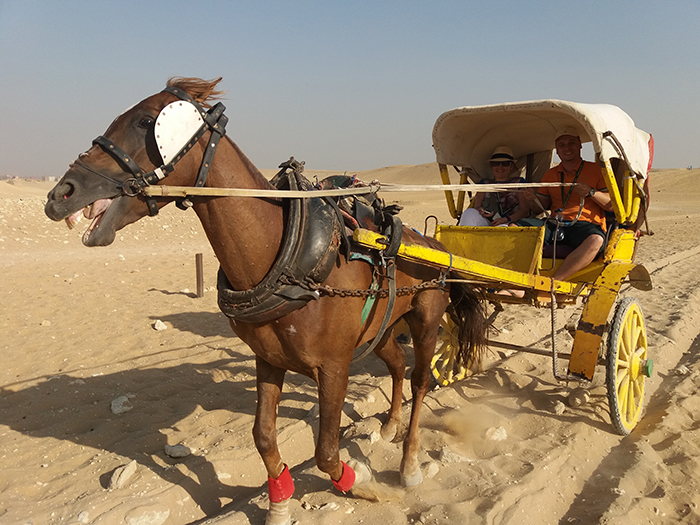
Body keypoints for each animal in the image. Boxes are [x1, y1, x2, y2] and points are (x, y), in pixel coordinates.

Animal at [44, 77, 487, 524]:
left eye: (144, 121)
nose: (61, 193)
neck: (288, 256)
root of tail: (433, 243)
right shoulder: (269, 359)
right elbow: (263, 435)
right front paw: (279, 500)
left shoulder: (334, 367)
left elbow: (326, 452)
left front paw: (361, 486)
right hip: (380, 330)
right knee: (397, 365)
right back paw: (389, 425)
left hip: (426, 321)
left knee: (419, 381)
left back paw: (409, 463)